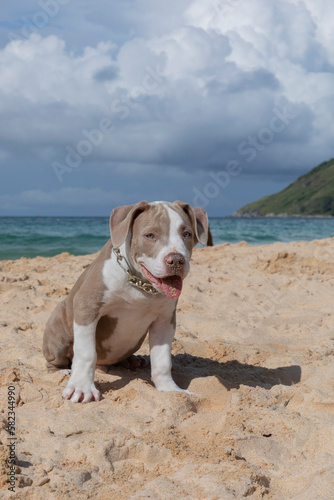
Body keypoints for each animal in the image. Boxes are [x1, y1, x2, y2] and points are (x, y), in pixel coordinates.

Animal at [42, 199, 207, 402]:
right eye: (150, 235)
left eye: (187, 234)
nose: (176, 260)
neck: (140, 283)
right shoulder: (87, 306)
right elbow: (86, 353)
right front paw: (81, 388)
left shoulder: (164, 320)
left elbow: (162, 360)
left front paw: (170, 389)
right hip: (59, 327)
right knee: (56, 360)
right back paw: (62, 371)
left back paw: (132, 360)